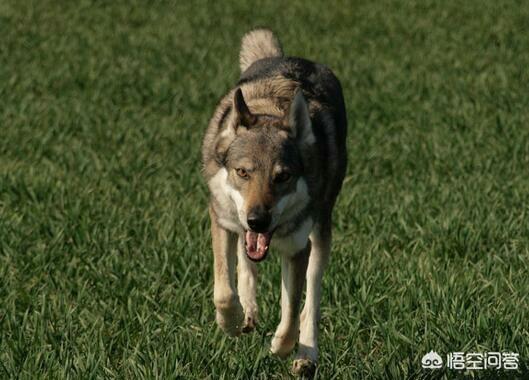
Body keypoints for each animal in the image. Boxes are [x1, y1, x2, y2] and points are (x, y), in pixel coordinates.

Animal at [200, 28, 344, 376]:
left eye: (283, 176)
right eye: (242, 172)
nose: (258, 220)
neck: (271, 110)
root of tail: (290, 58)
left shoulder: (297, 248)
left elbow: (291, 311)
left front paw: (282, 346)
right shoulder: (222, 220)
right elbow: (224, 291)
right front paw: (232, 323)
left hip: (321, 237)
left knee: (311, 300)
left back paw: (306, 356)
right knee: (245, 264)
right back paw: (248, 314)